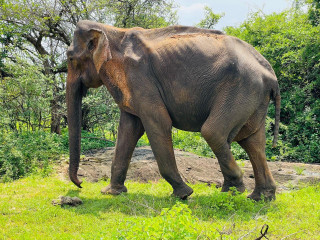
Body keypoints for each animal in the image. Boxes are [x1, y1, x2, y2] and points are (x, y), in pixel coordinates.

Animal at [67, 20, 280, 201]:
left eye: (70, 58)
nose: (81, 184)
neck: (112, 32)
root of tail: (271, 74)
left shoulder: (141, 79)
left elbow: (158, 123)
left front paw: (183, 194)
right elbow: (129, 129)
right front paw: (111, 193)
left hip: (241, 89)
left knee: (214, 132)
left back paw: (233, 191)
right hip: (253, 97)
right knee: (252, 141)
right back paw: (261, 197)